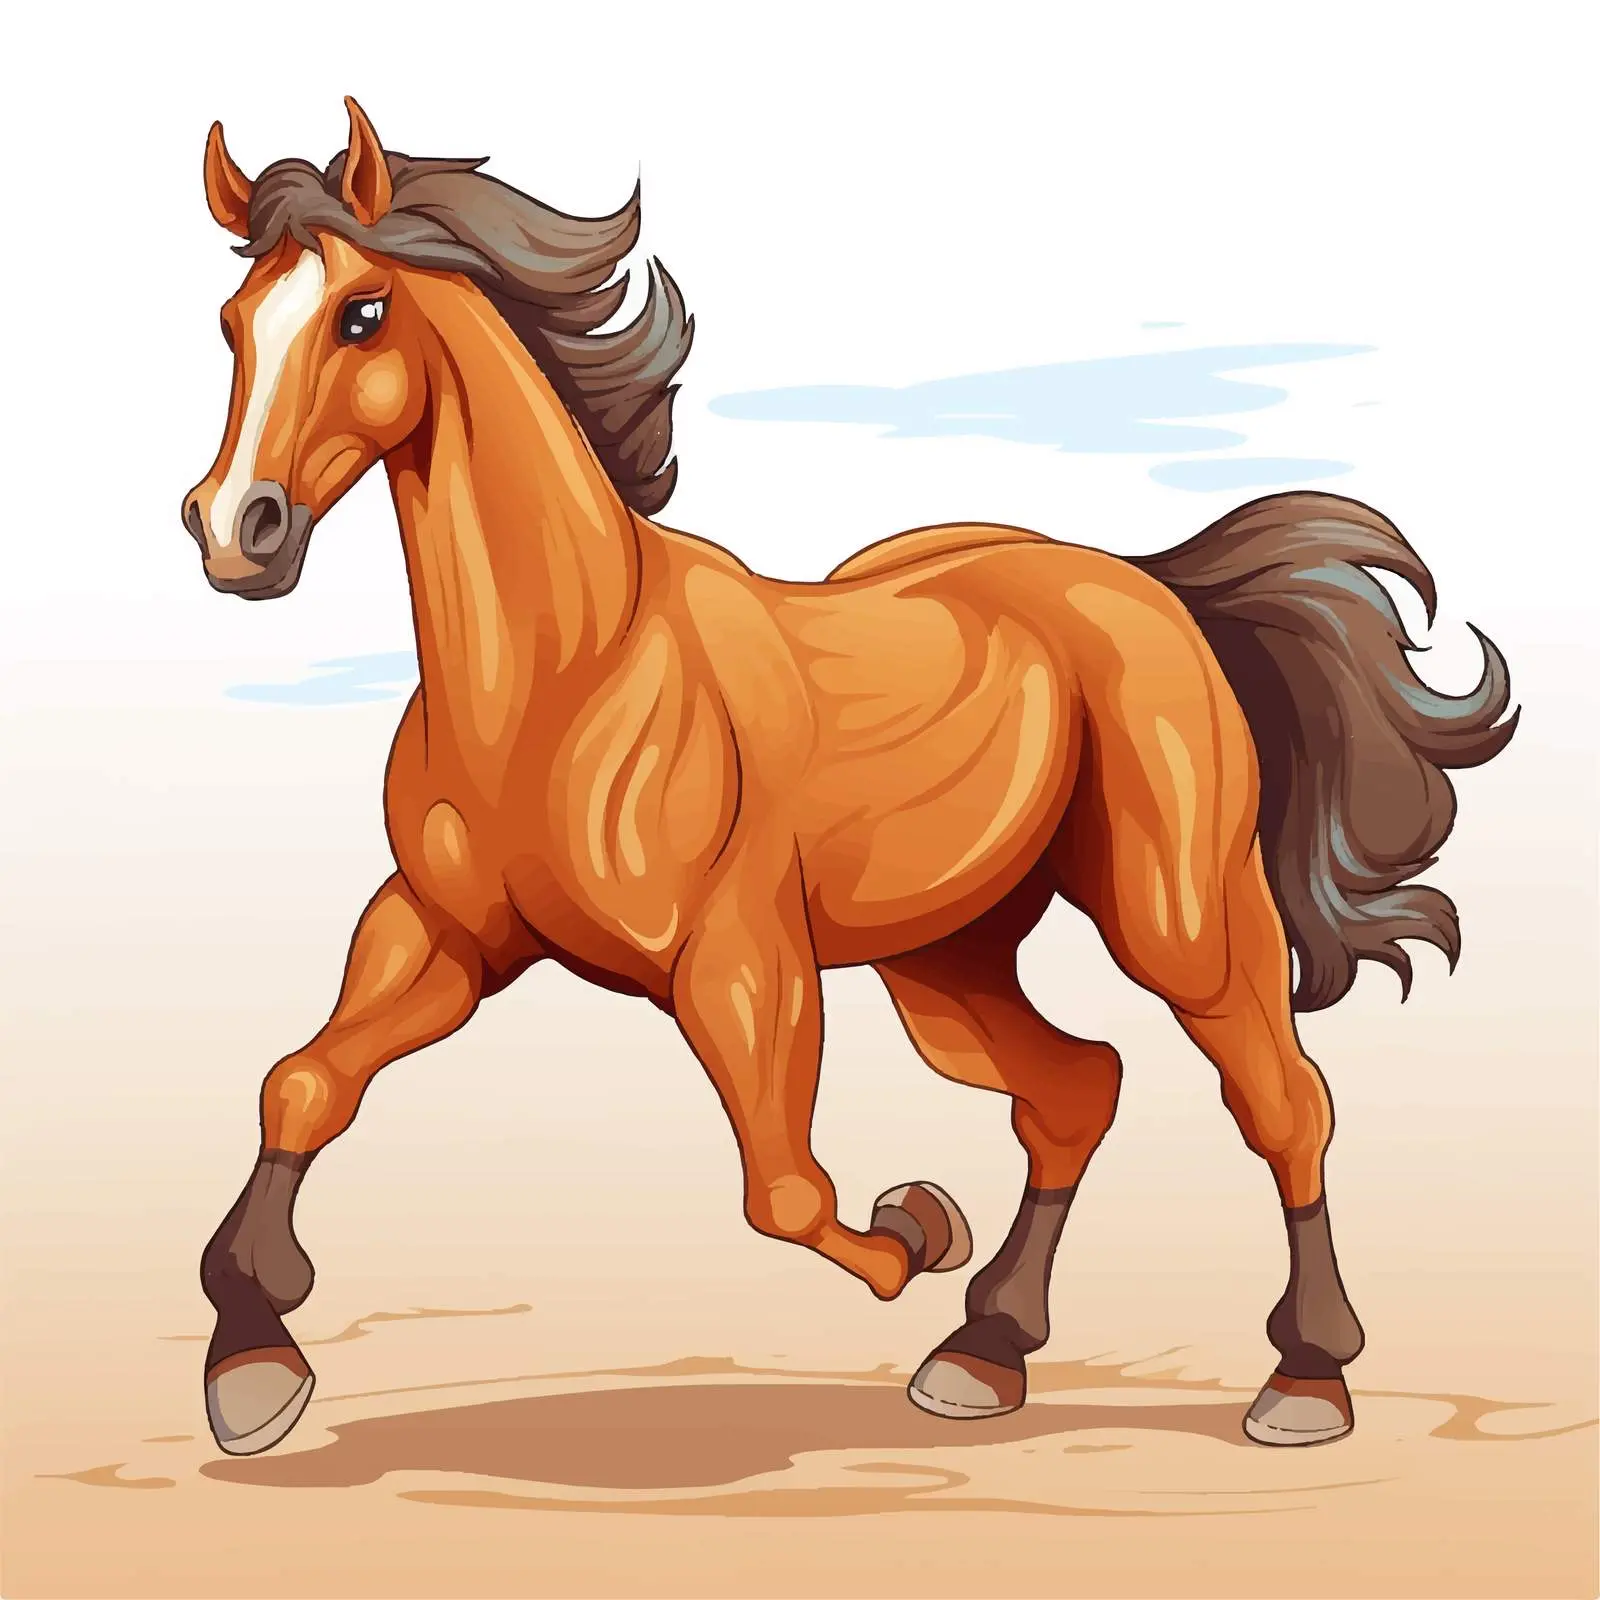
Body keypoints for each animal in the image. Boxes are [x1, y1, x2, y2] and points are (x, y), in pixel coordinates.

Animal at [182, 99, 1517, 1458]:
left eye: (360, 314)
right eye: (233, 322)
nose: (236, 531)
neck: (569, 673)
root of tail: (1143, 582)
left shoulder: (738, 962)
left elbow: (785, 1188)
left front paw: (920, 1225)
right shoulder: (444, 930)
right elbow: (302, 1082)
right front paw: (253, 1363)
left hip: (1178, 917)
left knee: (1282, 1099)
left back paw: (1303, 1378)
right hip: (944, 961)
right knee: (1075, 1088)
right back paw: (983, 1354)